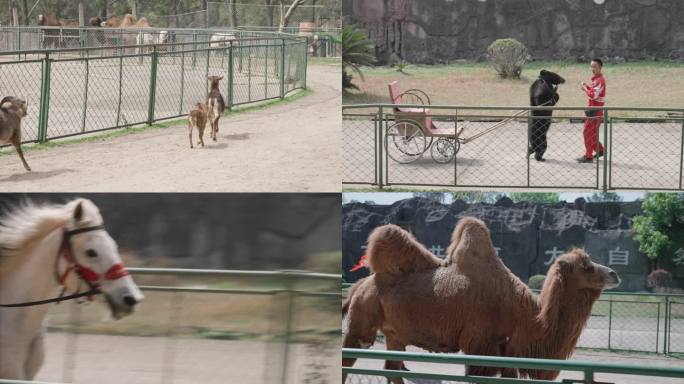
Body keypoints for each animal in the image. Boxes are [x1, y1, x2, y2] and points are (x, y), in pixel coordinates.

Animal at [342, 218, 620, 382]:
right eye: (586, 267)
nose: (614, 274)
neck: (526, 318)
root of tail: (359, 285)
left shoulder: (504, 349)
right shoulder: (481, 343)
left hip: (394, 333)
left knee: (391, 368)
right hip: (361, 324)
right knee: (349, 360)